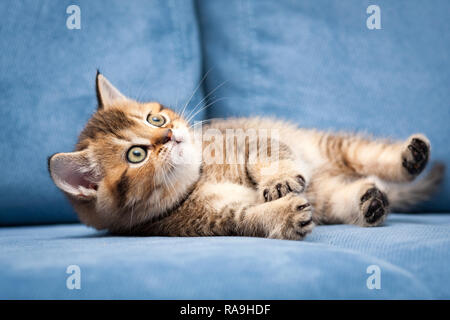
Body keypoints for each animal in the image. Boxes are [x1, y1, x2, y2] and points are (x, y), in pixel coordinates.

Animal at [48, 72, 442, 238]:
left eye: (154, 118)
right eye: (135, 154)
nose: (170, 134)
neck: (199, 177)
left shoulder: (249, 138)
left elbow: (266, 154)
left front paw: (279, 180)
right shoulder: (207, 220)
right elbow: (248, 218)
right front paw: (283, 215)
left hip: (332, 148)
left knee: (365, 156)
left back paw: (412, 155)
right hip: (330, 194)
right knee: (348, 193)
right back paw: (371, 200)